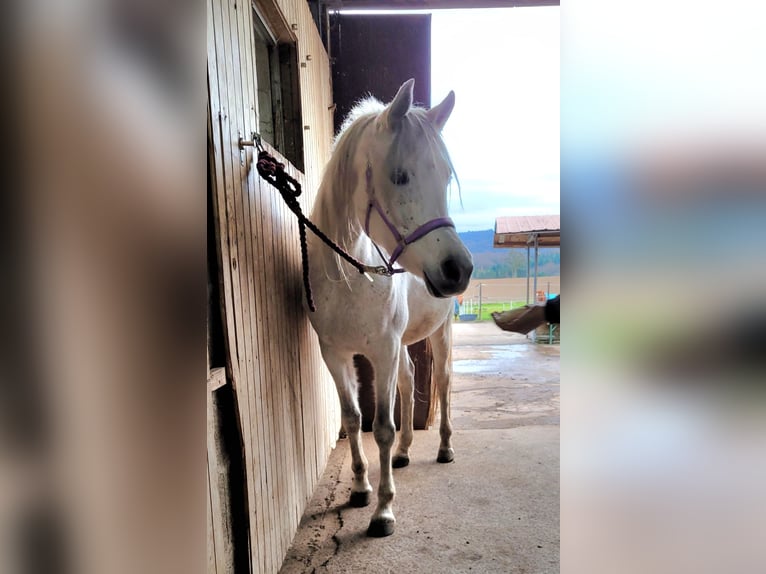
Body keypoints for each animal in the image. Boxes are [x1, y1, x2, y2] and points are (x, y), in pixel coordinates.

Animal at [306, 79, 473, 537]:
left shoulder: (382, 350)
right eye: (400, 176)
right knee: (410, 378)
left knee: (443, 382)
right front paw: (361, 489)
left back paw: (445, 447)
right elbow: (352, 419)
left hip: (438, 334)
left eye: (446, 178)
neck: (352, 277)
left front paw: (383, 510)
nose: (459, 269)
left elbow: (381, 426)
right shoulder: (336, 354)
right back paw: (403, 453)